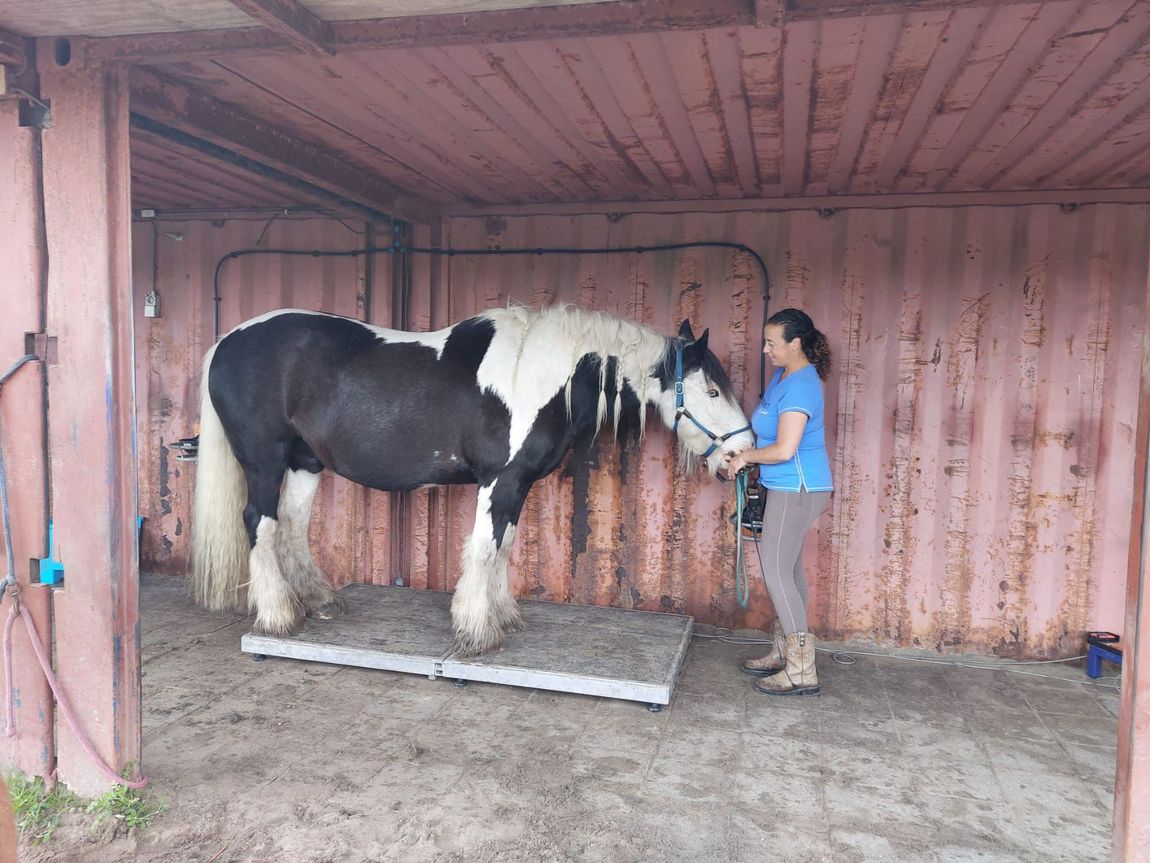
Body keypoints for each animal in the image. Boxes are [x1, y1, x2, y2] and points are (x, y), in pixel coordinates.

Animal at [190, 303, 754, 656]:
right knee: (259, 522)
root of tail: (226, 341)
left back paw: (320, 603)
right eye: (710, 389)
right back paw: (279, 615)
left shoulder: (519, 485)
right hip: (265, 460)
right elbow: (484, 548)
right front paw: (477, 633)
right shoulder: (500, 480)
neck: (541, 376)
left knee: (290, 524)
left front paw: (501, 616)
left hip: (306, 462)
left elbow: (503, 548)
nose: (743, 454)